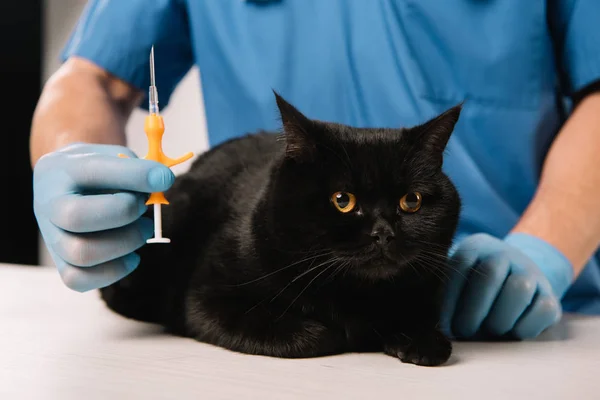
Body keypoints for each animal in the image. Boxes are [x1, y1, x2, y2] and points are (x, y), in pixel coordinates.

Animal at [101, 92, 462, 368]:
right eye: (342, 200)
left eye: (411, 201)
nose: (383, 233)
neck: (354, 293)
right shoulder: (206, 298)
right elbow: (307, 335)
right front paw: (334, 333)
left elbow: (421, 318)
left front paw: (422, 340)